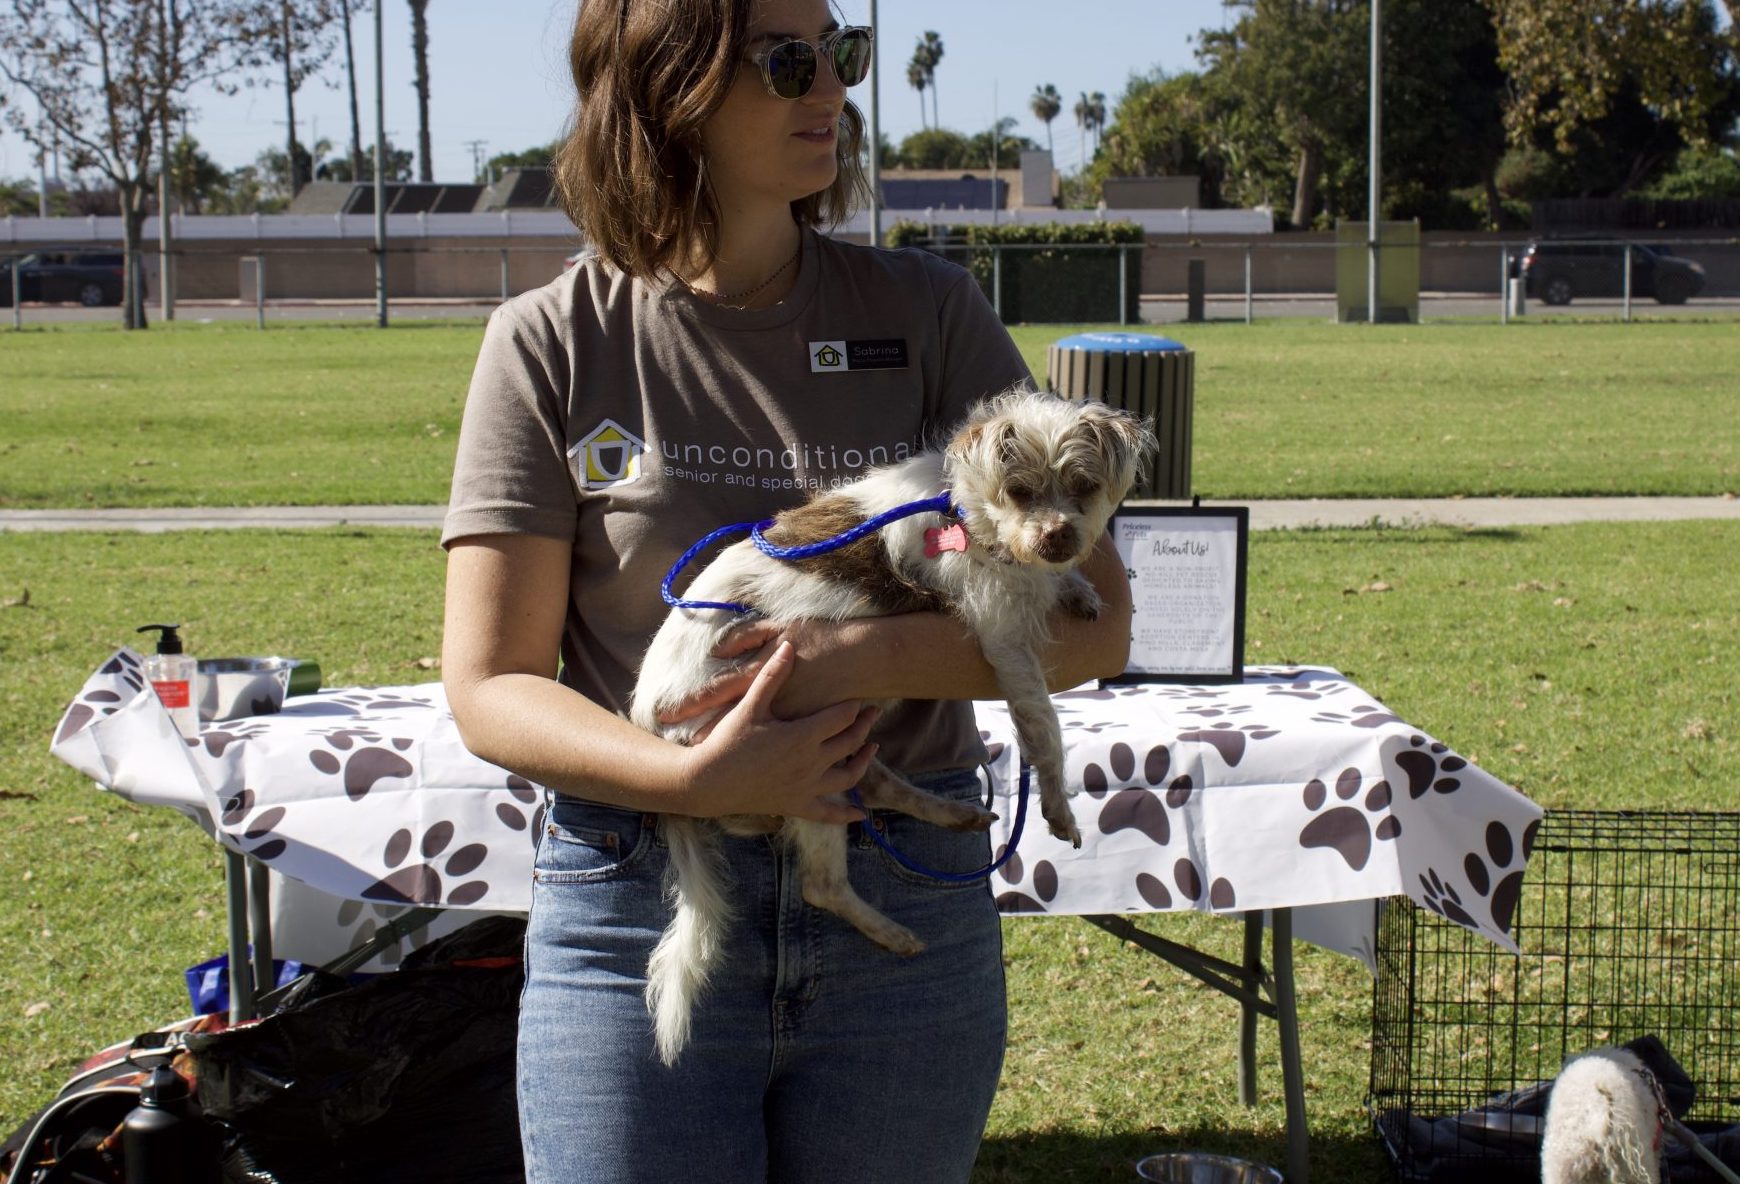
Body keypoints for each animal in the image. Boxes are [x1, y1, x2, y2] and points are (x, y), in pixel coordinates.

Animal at [629, 390, 1155, 1065]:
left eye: (1085, 487)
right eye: (1019, 491)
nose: (1058, 536)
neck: (966, 510)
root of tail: (653, 728)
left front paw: (1079, 590)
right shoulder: (1004, 642)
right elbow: (1042, 727)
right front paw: (1059, 809)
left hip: (845, 738)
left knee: (876, 783)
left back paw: (952, 814)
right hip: (799, 771)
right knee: (821, 885)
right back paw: (893, 931)